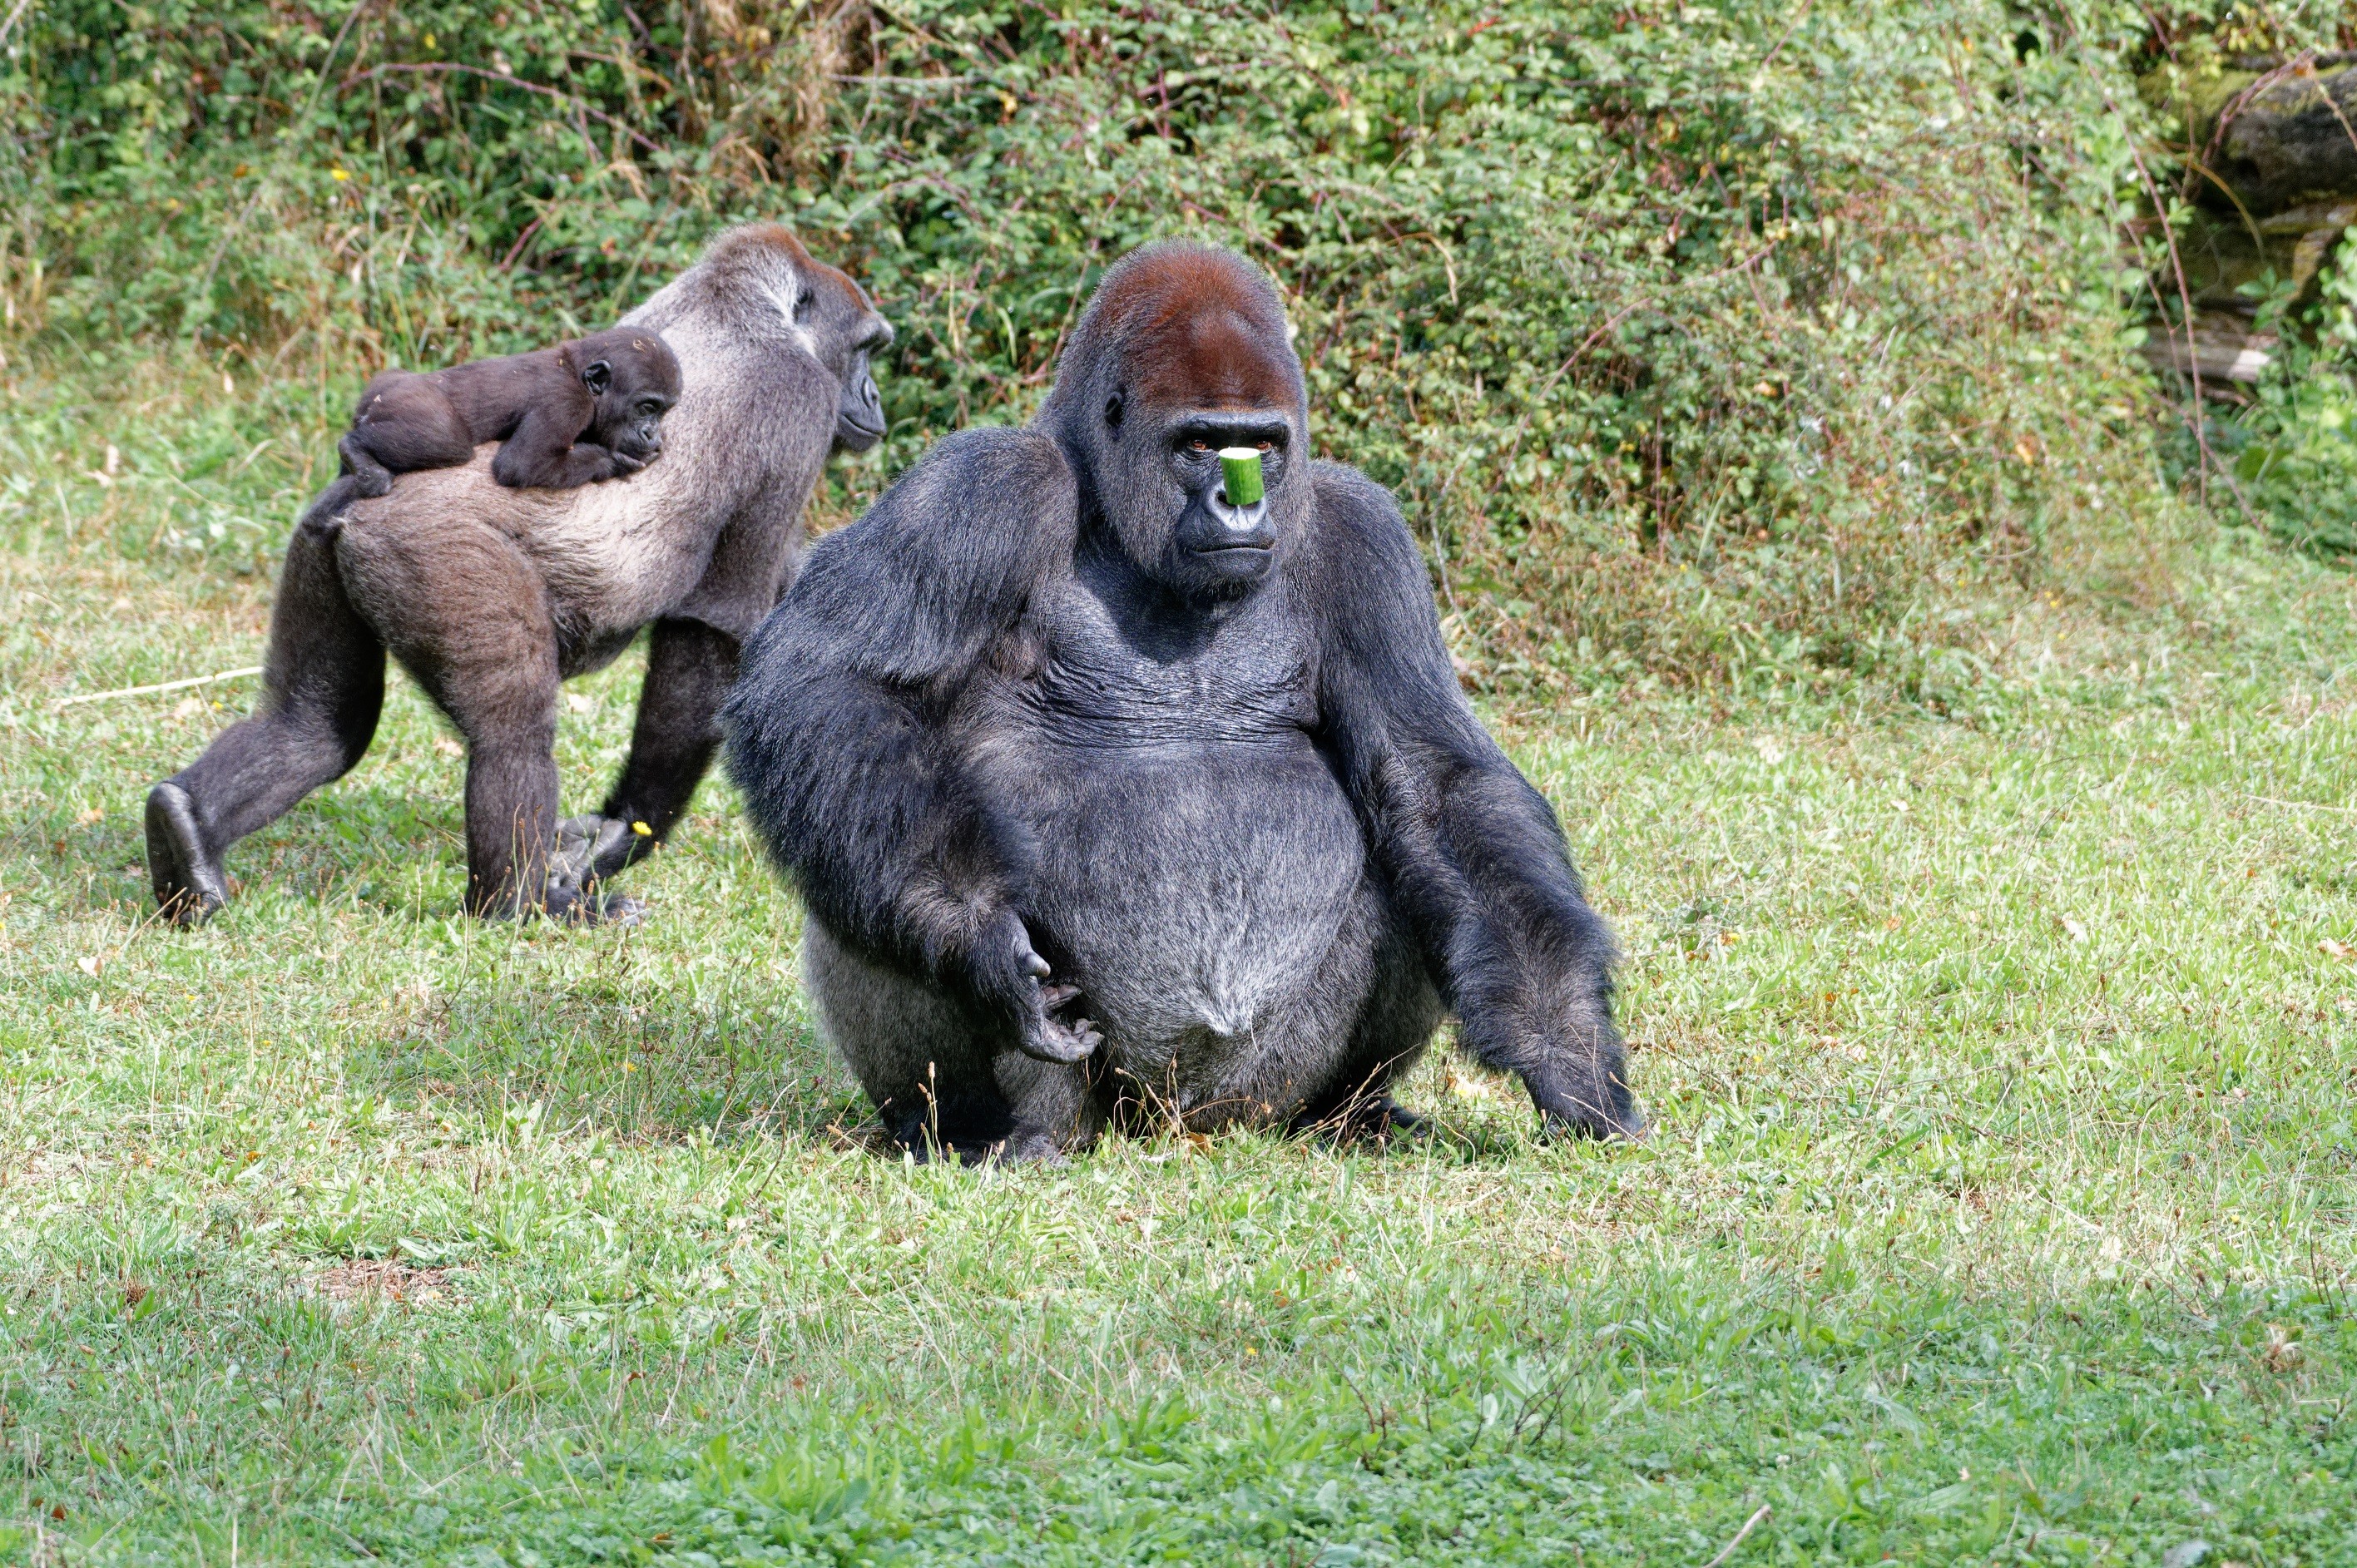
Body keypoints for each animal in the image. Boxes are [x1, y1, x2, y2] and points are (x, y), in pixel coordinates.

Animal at [337, 328, 683, 497]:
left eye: (662, 412)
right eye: (646, 408)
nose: (652, 433)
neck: (577, 371)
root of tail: (377, 394)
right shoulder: (567, 402)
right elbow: (523, 463)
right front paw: (619, 460)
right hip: (406, 401)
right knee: (446, 441)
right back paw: (356, 451)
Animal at [725, 238, 1650, 1155]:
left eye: (1263, 445)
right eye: (1198, 443)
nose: (1238, 509)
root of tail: (1179, 1124)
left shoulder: (1366, 535)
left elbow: (1435, 785)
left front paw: (1566, 1051)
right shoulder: (980, 486)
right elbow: (825, 682)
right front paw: (974, 931)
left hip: (1257, 1094)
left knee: (1416, 865)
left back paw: (1350, 1114)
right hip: (1100, 1101)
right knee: (867, 864)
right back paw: (989, 1126)